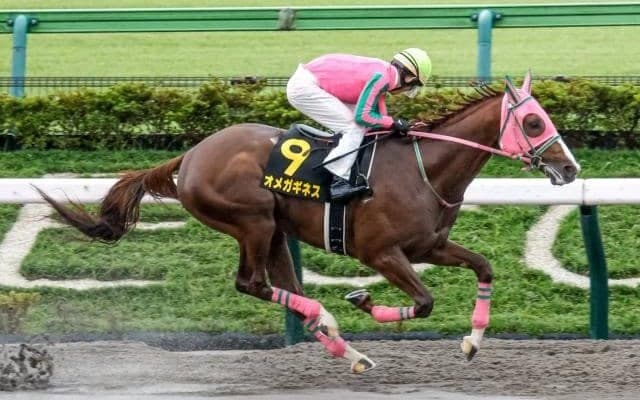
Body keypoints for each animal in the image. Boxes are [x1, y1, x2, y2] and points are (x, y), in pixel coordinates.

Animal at [38, 72, 580, 373]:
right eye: (534, 122)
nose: (570, 168)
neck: (425, 169)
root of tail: (189, 155)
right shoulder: (381, 253)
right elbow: (424, 302)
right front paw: (364, 300)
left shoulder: (428, 246)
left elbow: (484, 267)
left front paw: (471, 342)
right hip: (252, 222)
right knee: (251, 283)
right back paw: (332, 318)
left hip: (276, 230)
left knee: (282, 288)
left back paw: (347, 348)